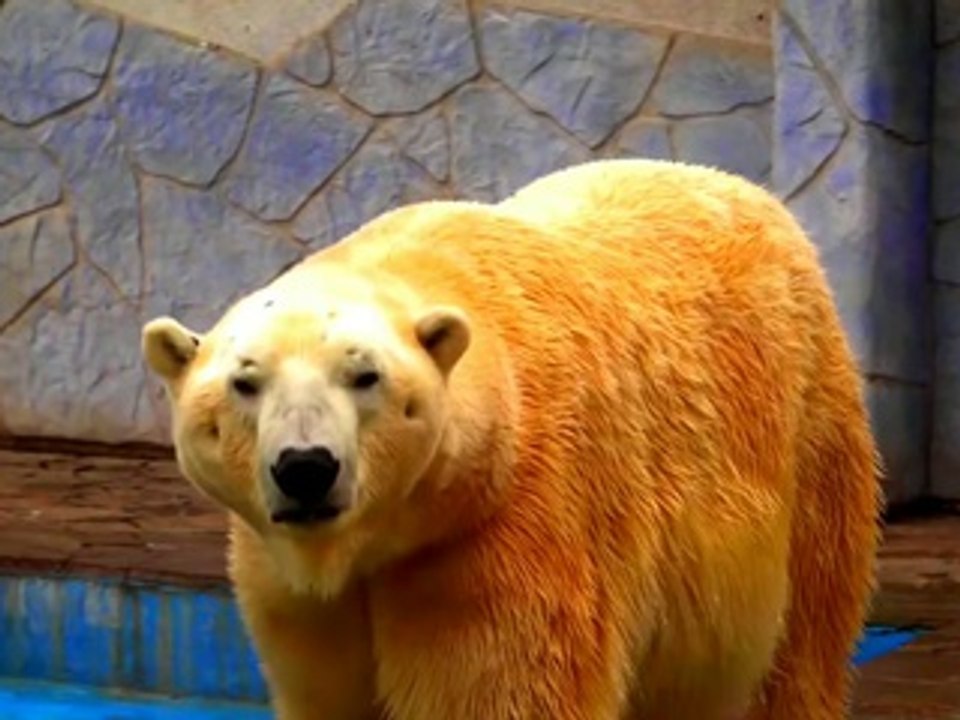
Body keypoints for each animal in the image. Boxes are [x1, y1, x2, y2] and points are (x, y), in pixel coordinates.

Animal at [141, 158, 881, 720]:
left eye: (364, 375)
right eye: (245, 382)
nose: (305, 467)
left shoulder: (508, 535)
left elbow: (501, 693)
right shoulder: (293, 593)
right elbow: (330, 691)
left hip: (810, 440)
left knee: (797, 656)